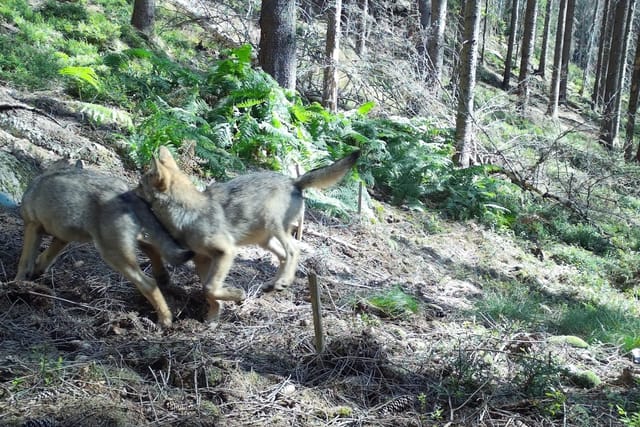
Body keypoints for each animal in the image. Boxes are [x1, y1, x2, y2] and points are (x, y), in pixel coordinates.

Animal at [15, 158, 193, 328]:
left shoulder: (32, 226)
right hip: (128, 243)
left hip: (112, 254)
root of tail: (124, 192)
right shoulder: (62, 238)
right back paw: (162, 276)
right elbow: (44, 258)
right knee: (154, 249)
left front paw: (17, 284)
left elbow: (24, 261)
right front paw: (34, 275)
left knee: (149, 284)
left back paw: (165, 319)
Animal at [136, 146, 360, 324]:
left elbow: (210, 288)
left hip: (273, 225)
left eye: (139, 185)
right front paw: (213, 318)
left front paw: (237, 295)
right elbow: (209, 291)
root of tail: (294, 181)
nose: (129, 191)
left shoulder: (226, 252)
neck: (187, 214)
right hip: (265, 241)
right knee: (283, 256)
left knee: (293, 250)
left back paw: (283, 281)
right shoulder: (202, 259)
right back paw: (273, 284)